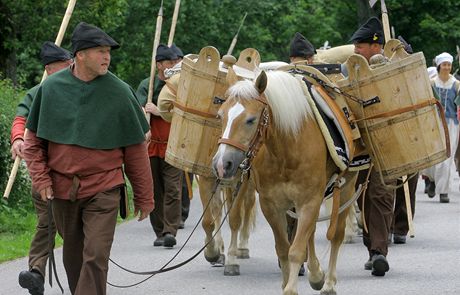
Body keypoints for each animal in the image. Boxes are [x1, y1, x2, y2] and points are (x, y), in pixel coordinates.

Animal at [212, 70, 360, 295]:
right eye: (220, 116)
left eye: (251, 120)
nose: (222, 164)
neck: (286, 150)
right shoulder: (271, 205)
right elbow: (283, 248)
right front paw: (289, 280)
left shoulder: (309, 201)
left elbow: (296, 250)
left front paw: (291, 288)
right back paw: (316, 274)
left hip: (346, 188)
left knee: (336, 235)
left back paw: (328, 283)